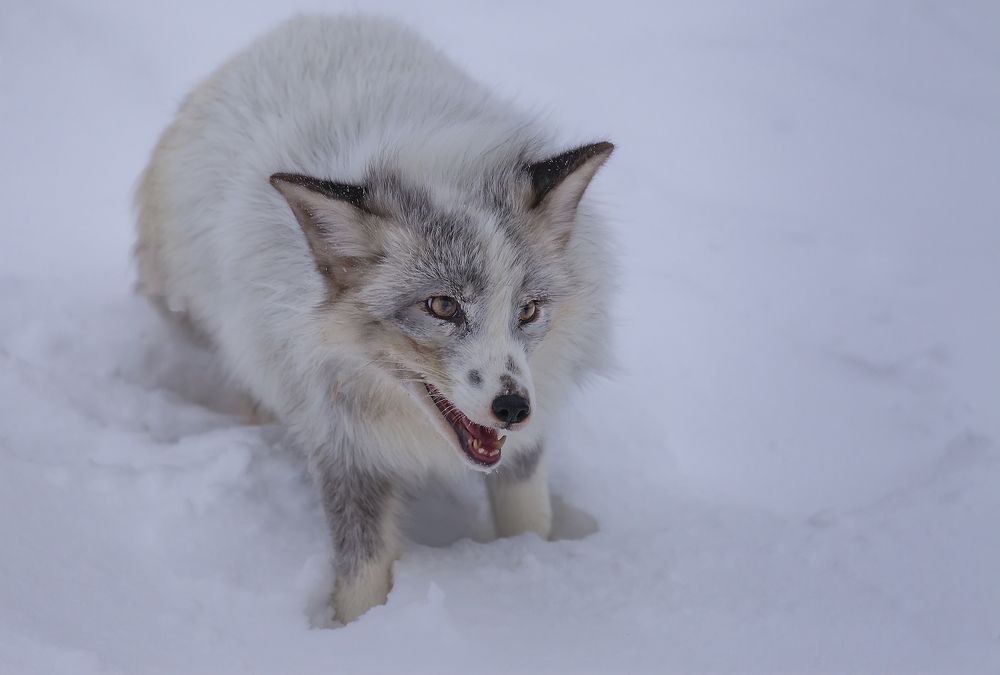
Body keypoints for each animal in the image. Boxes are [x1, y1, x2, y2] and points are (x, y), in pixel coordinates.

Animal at [135, 14, 614, 623]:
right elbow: (361, 581)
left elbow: (529, 520)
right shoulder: (343, 447)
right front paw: (360, 633)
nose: (513, 408)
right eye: (442, 307)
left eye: (528, 310)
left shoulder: (525, 441)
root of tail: (306, 22)